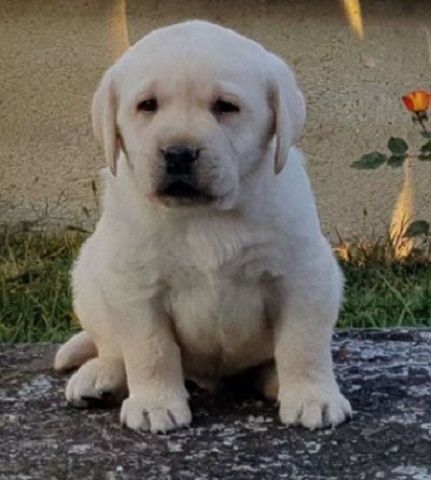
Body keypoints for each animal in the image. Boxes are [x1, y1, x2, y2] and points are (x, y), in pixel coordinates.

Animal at [54, 18, 352, 434]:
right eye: (147, 105)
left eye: (225, 107)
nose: (179, 154)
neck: (203, 216)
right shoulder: (137, 285)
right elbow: (150, 348)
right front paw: (155, 404)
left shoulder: (302, 275)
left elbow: (302, 343)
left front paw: (312, 397)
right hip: (91, 273)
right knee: (112, 346)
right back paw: (101, 377)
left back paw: (275, 379)